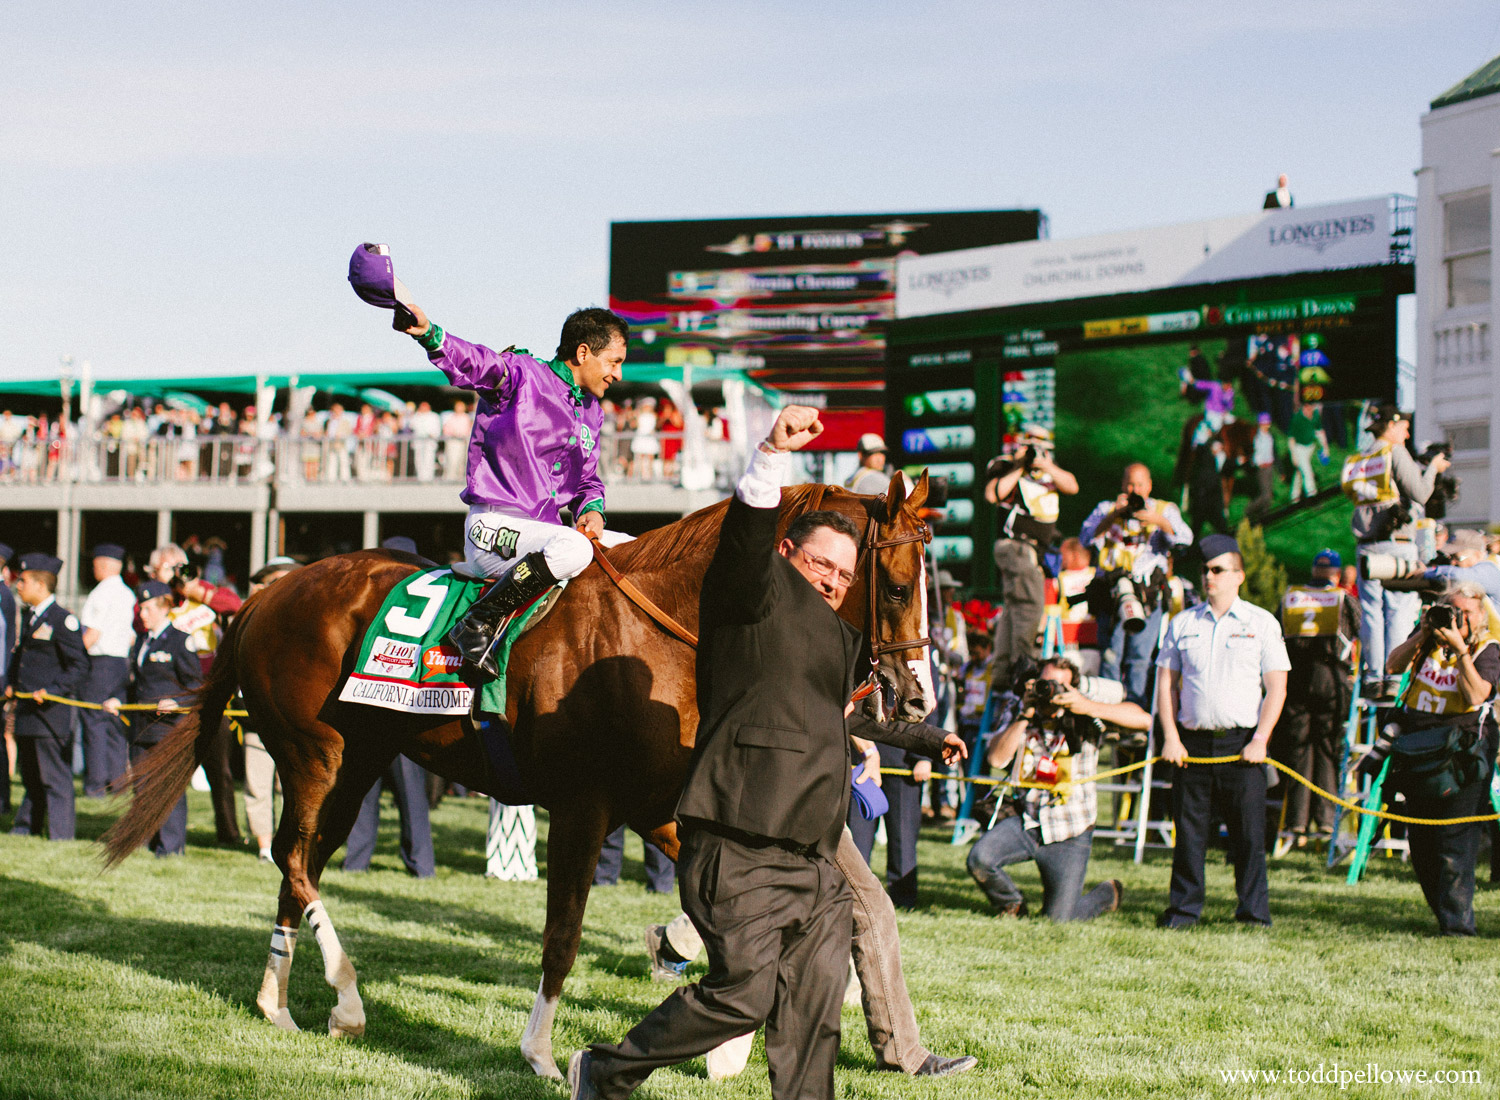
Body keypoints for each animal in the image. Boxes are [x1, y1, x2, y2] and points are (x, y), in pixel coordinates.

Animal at [102, 474, 924, 1074]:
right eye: (895, 586)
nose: (913, 696)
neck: (666, 628)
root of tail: (267, 593)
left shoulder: (658, 803)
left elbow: (726, 917)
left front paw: (715, 1027)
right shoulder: (586, 805)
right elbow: (563, 933)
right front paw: (542, 1054)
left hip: (359, 758)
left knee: (301, 859)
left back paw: (277, 1000)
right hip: (314, 751)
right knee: (291, 855)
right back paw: (346, 999)